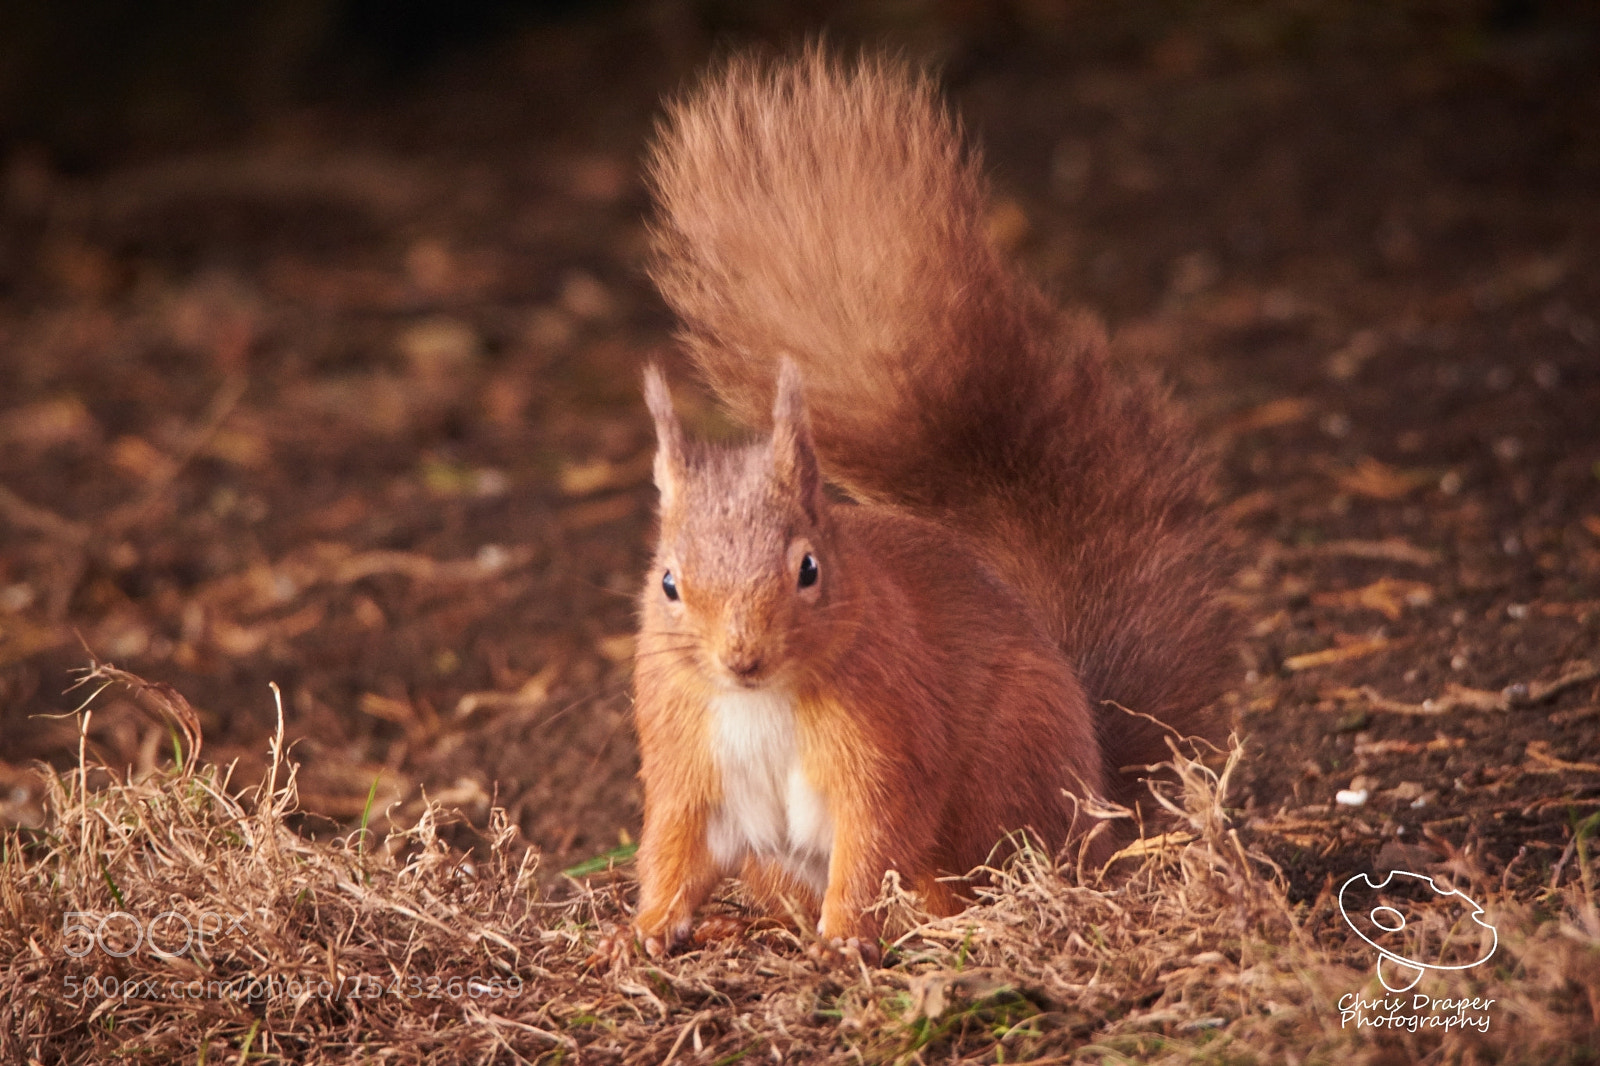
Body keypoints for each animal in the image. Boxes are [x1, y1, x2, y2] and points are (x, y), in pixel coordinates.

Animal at [629, 48, 1235, 956]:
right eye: (669, 582)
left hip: (1003, 773)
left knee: (966, 870)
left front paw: (844, 938)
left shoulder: (886, 740)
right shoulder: (686, 764)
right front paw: (636, 935)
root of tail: (1099, 805)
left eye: (809, 569)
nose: (741, 658)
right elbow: (674, 852)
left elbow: (873, 833)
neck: (758, 703)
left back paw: (949, 919)